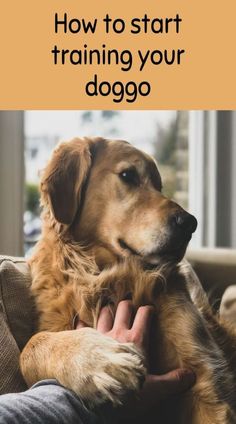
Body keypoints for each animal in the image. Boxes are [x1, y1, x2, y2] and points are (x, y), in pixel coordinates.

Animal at [20, 137, 236, 422]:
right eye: (128, 175)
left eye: (159, 186)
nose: (190, 223)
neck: (106, 275)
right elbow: (30, 347)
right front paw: (100, 361)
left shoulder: (207, 379)